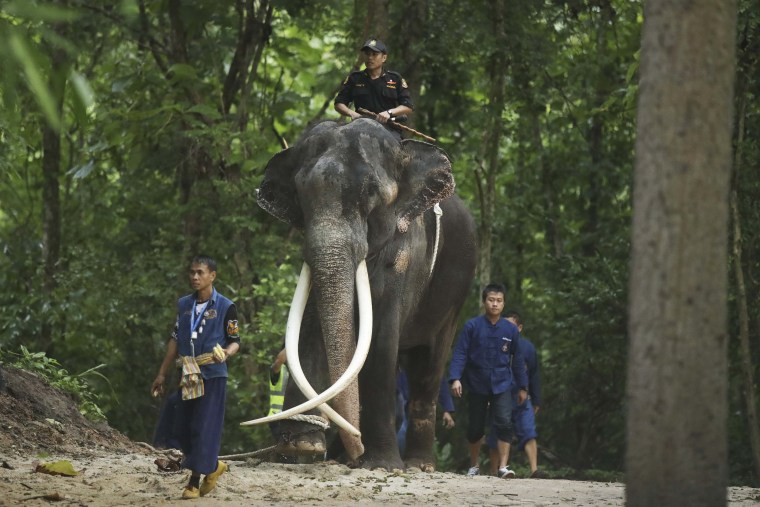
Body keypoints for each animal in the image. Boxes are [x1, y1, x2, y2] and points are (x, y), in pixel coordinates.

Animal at [249, 119, 476, 472]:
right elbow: (308, 330)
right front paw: (305, 446)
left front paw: (381, 464)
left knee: (429, 366)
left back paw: (417, 465)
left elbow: (381, 339)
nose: (354, 447)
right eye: (300, 193)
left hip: (455, 295)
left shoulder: (405, 253)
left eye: (371, 192)